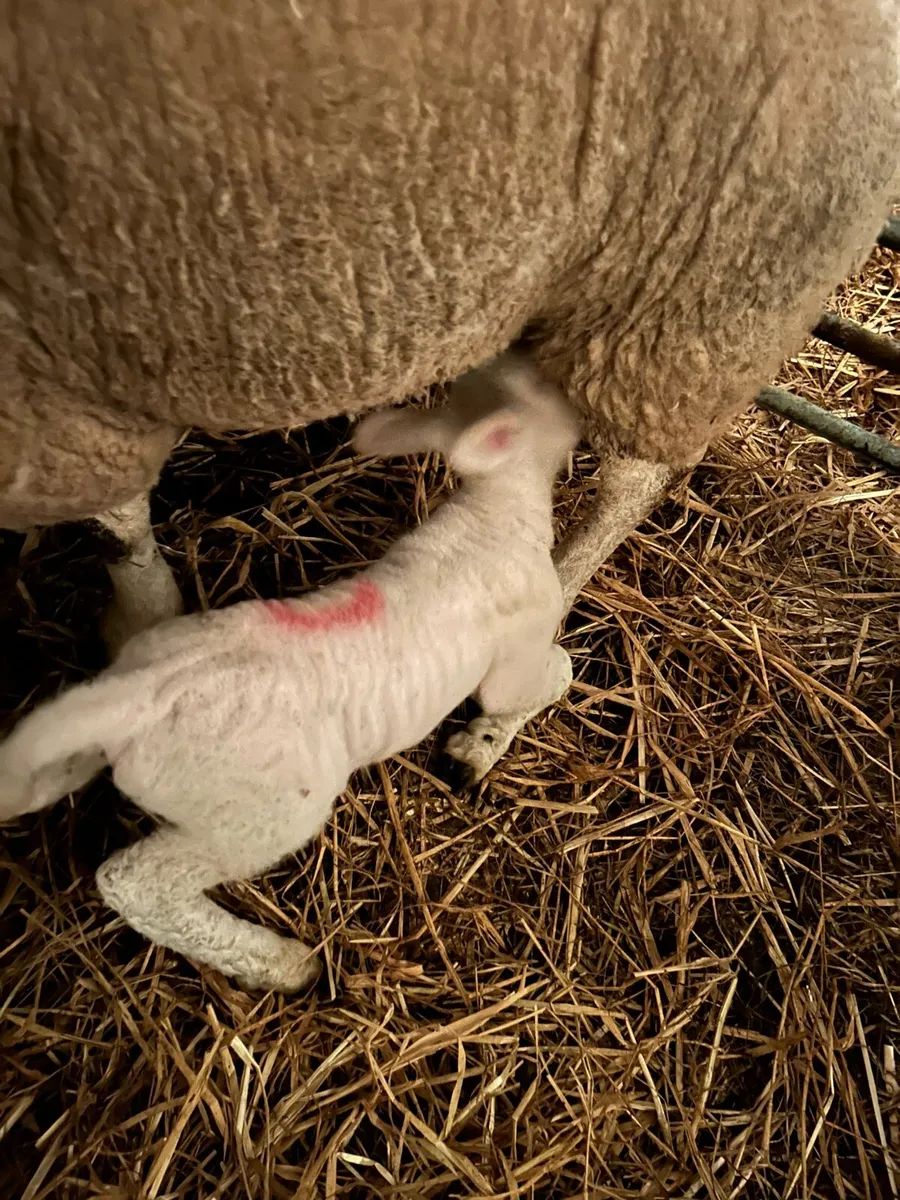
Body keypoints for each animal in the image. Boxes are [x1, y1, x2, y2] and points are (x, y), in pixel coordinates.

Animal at [0, 356, 579, 993]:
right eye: (542, 387)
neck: (496, 509)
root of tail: (138, 696)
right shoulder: (518, 643)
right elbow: (542, 677)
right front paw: (484, 739)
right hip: (257, 819)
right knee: (139, 884)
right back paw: (280, 963)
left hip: (96, 738)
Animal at [2, 0, 898, 781]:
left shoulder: (47, 385)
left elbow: (114, 528)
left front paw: (131, 637)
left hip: (713, 268)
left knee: (634, 477)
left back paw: (500, 711)